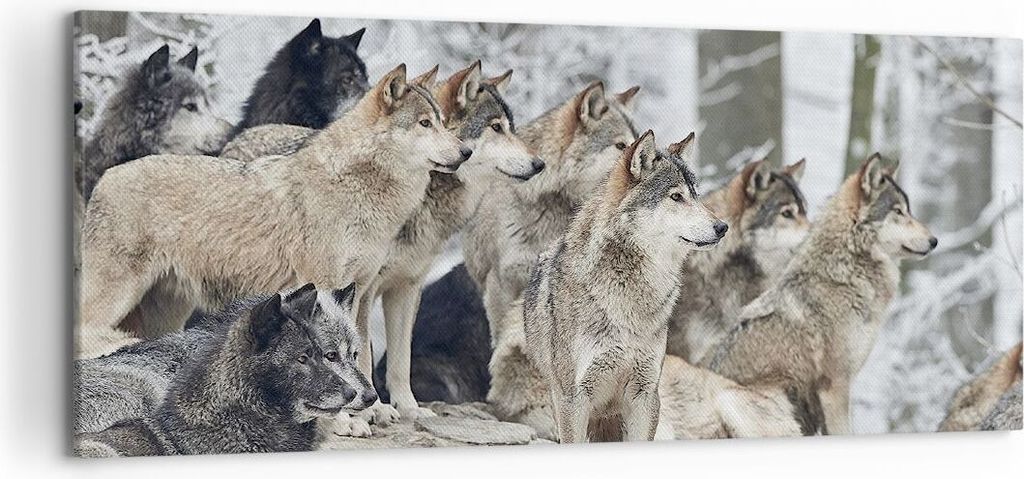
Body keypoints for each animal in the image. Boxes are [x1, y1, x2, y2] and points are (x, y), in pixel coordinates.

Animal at [78, 64, 468, 358]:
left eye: (442, 121)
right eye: (424, 124)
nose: (466, 152)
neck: (357, 186)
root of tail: (104, 178)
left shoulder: (358, 289)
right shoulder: (323, 285)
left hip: (168, 312)